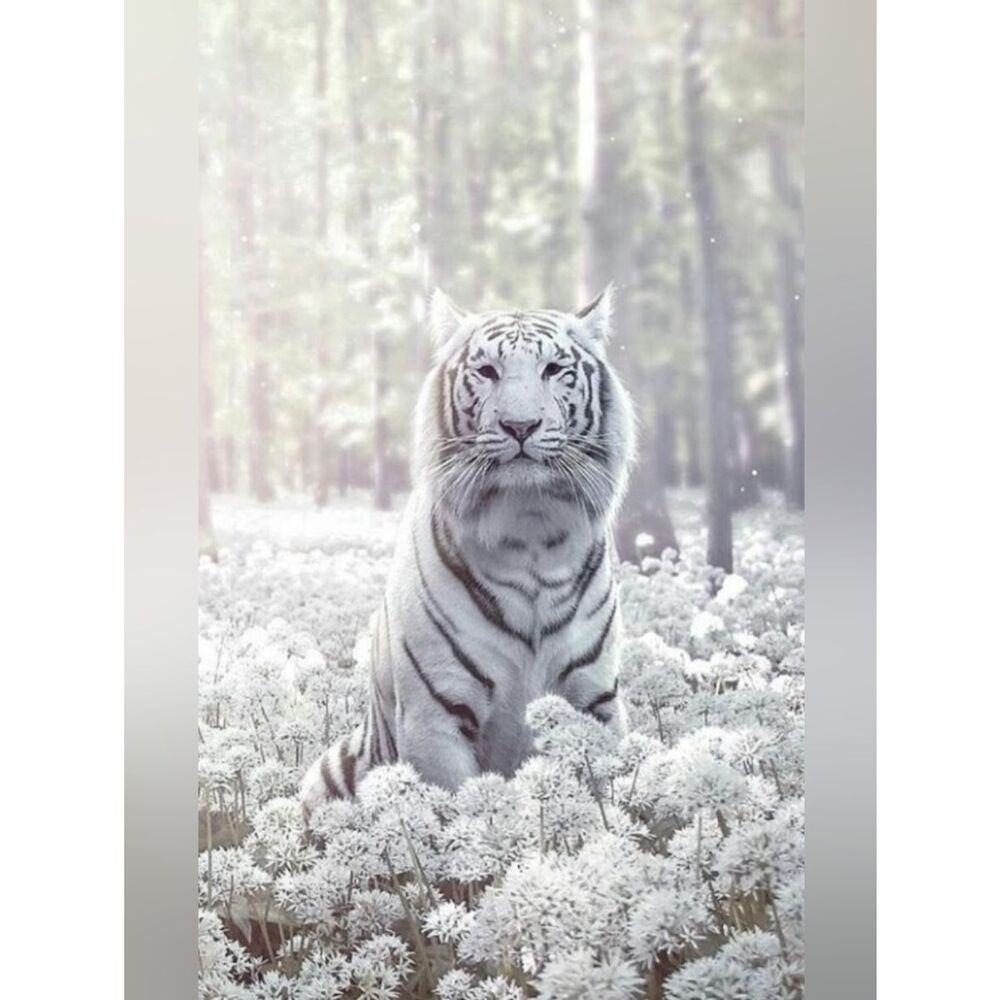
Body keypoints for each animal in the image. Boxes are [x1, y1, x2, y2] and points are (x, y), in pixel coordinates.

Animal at [300, 285, 636, 820]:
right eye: (487, 371)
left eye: (553, 369)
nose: (521, 425)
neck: (531, 534)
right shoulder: (435, 716)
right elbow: (458, 818)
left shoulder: (595, 703)